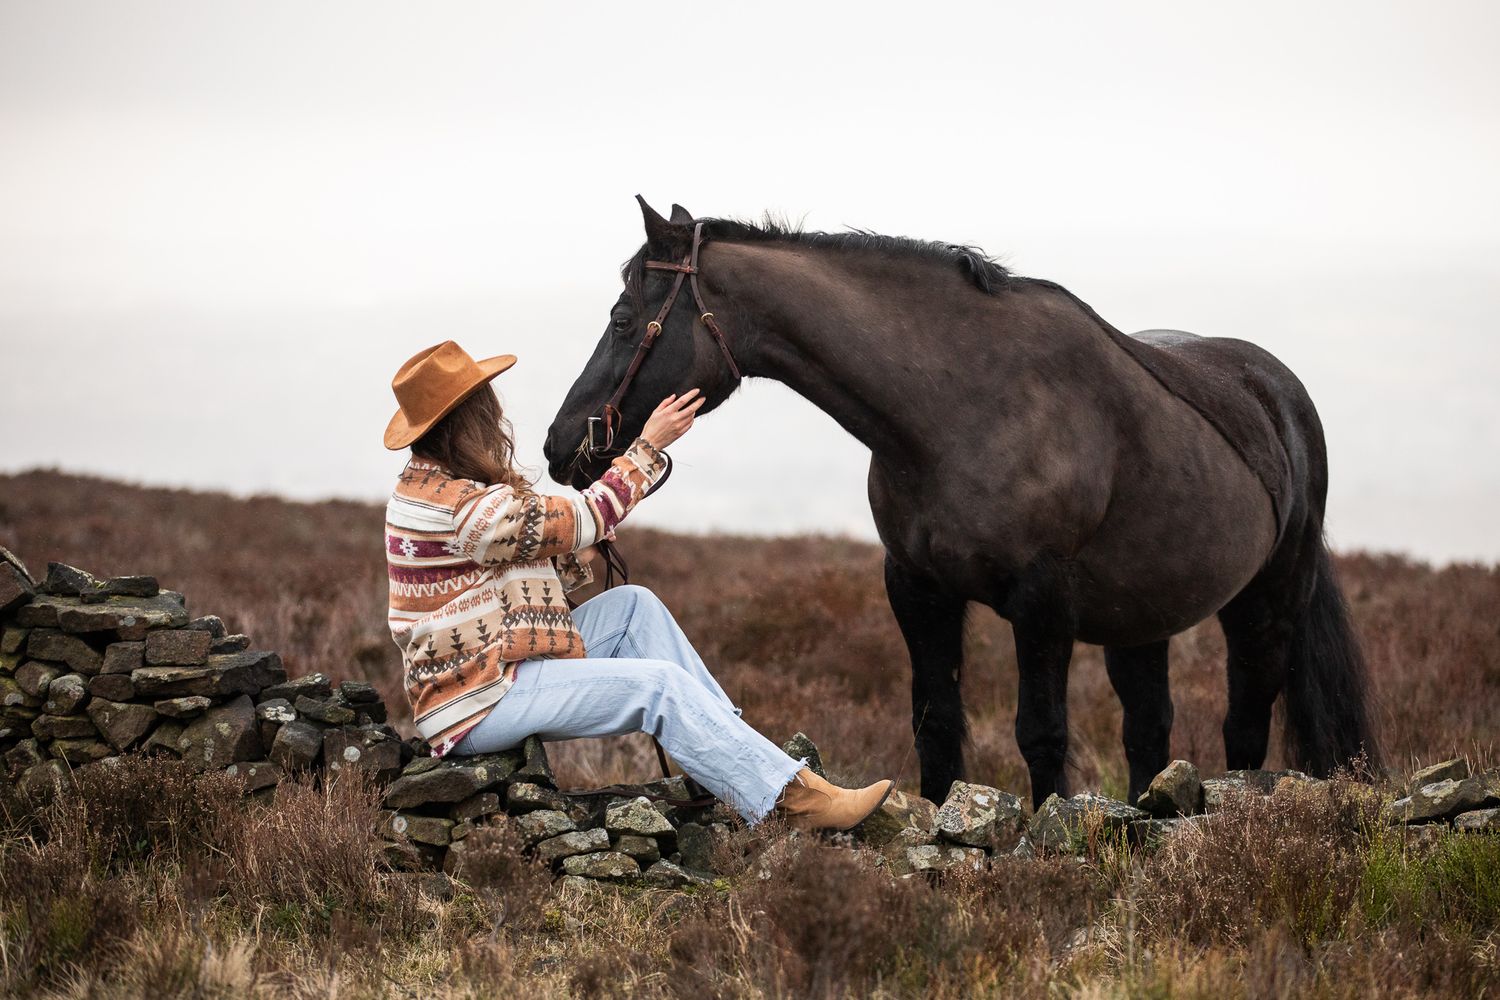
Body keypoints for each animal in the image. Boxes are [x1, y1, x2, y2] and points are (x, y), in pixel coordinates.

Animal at [543, 197, 1379, 808]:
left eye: (623, 319)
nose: (560, 444)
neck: (963, 408)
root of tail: (1275, 390)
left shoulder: (1042, 606)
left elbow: (1040, 732)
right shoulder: (919, 590)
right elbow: (935, 723)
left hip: (1265, 607)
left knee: (1245, 729)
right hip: (1141, 624)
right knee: (1150, 730)